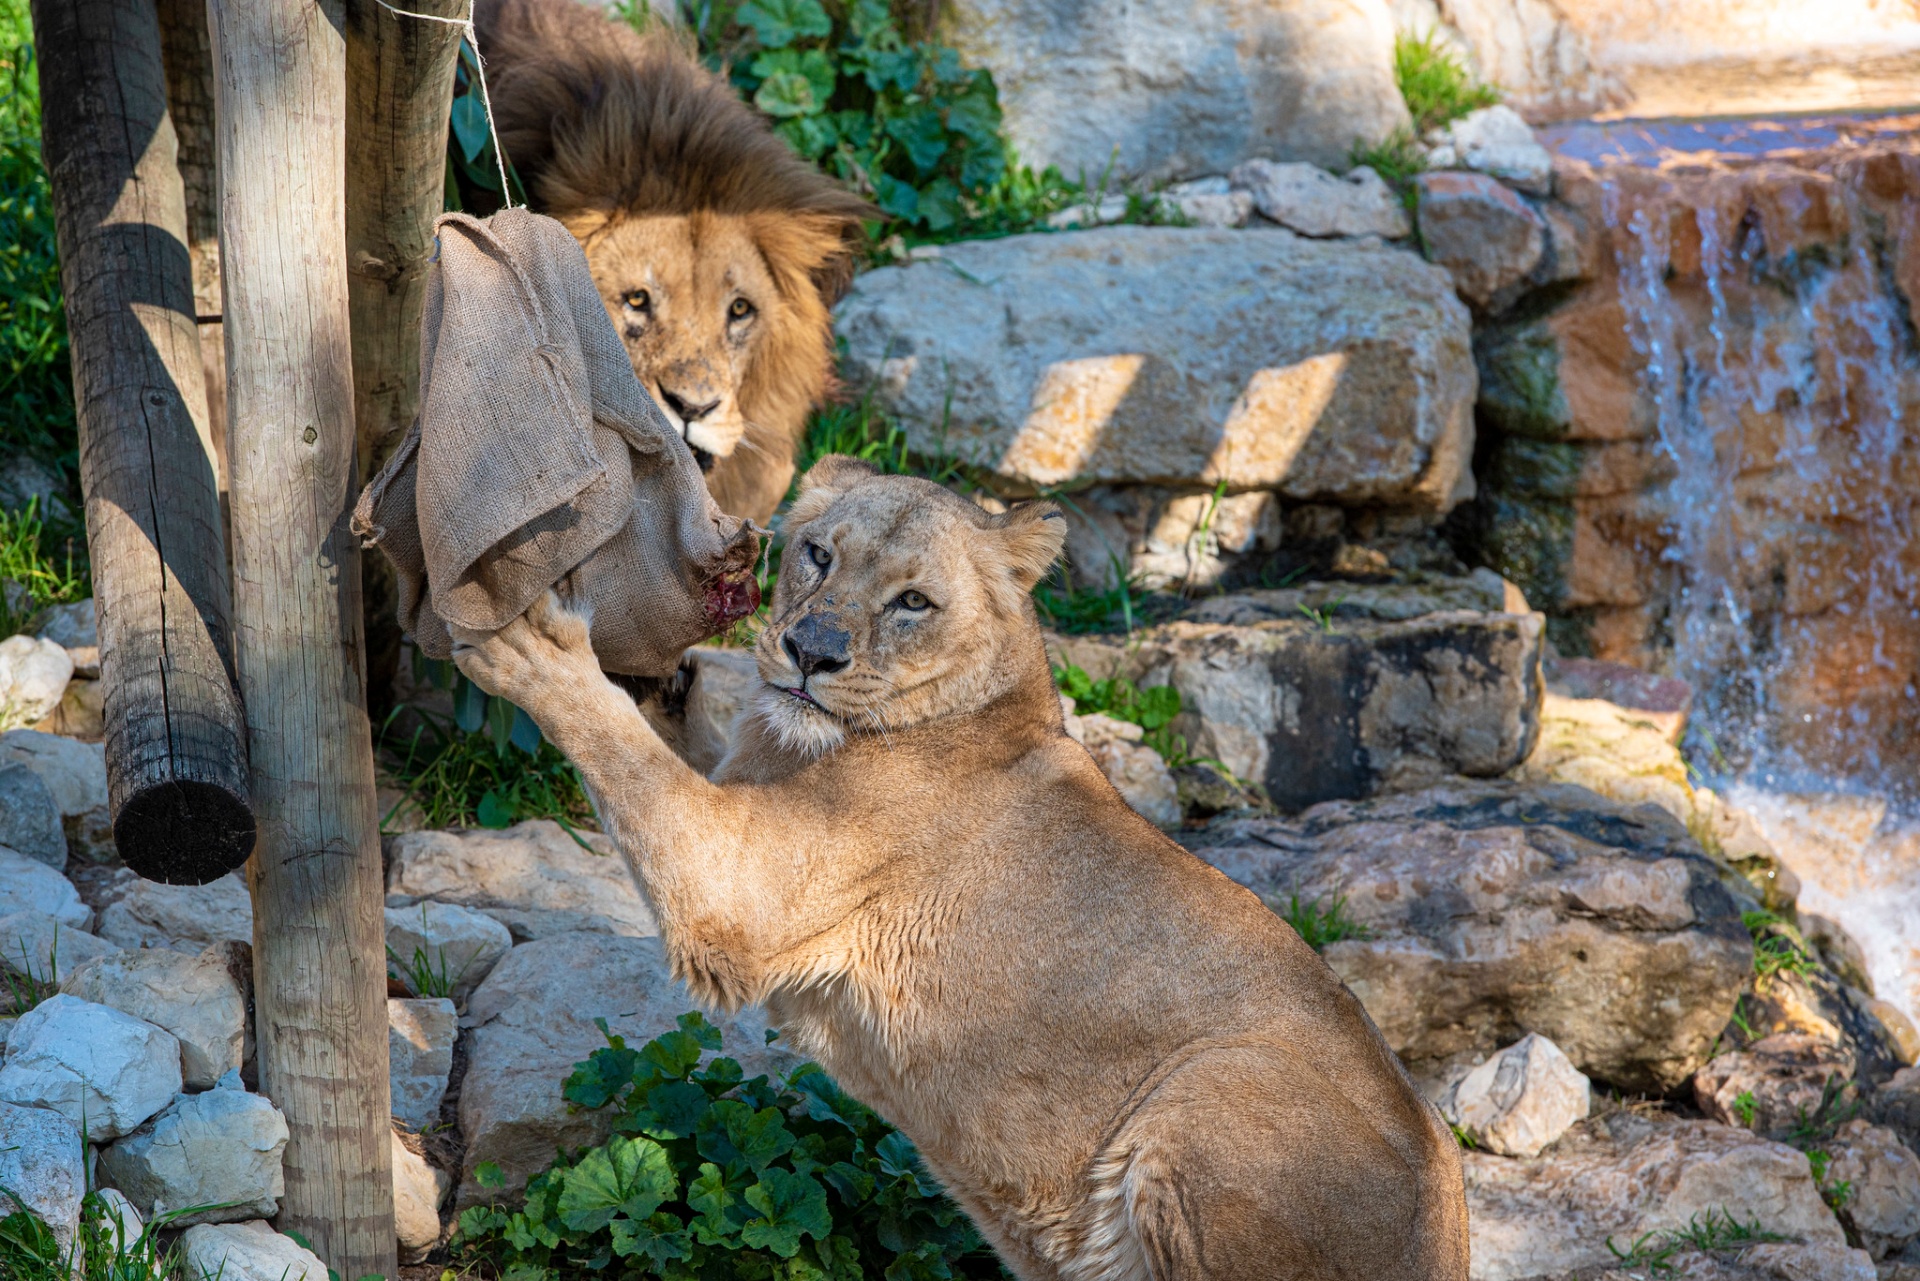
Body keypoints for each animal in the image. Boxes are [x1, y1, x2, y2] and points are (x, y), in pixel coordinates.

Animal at [452, 458, 1471, 1281]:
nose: (811, 652)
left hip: (1211, 1087)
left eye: (913, 602)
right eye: (817, 555)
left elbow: (624, 756)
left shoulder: (738, 886)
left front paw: (530, 640)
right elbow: (662, 735)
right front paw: (668, 670)